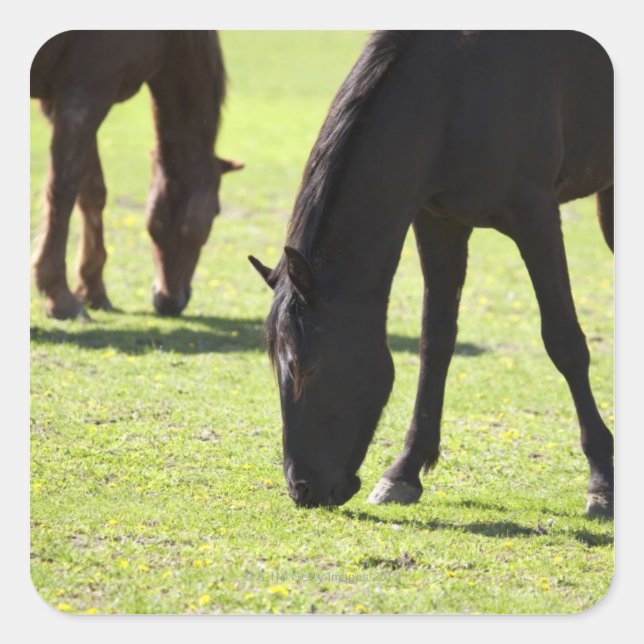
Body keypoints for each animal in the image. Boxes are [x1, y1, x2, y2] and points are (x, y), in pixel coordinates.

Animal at [30, 30, 243, 320]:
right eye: (216, 211)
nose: (167, 302)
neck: (168, 38)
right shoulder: (85, 95)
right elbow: (63, 191)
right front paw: (60, 297)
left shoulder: (63, 102)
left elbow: (92, 192)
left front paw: (93, 290)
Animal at [249, 31, 614, 518]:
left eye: (306, 366)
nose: (300, 489)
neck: (455, 89)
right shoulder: (438, 221)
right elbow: (435, 343)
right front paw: (404, 472)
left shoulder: (535, 215)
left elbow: (565, 343)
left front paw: (602, 481)